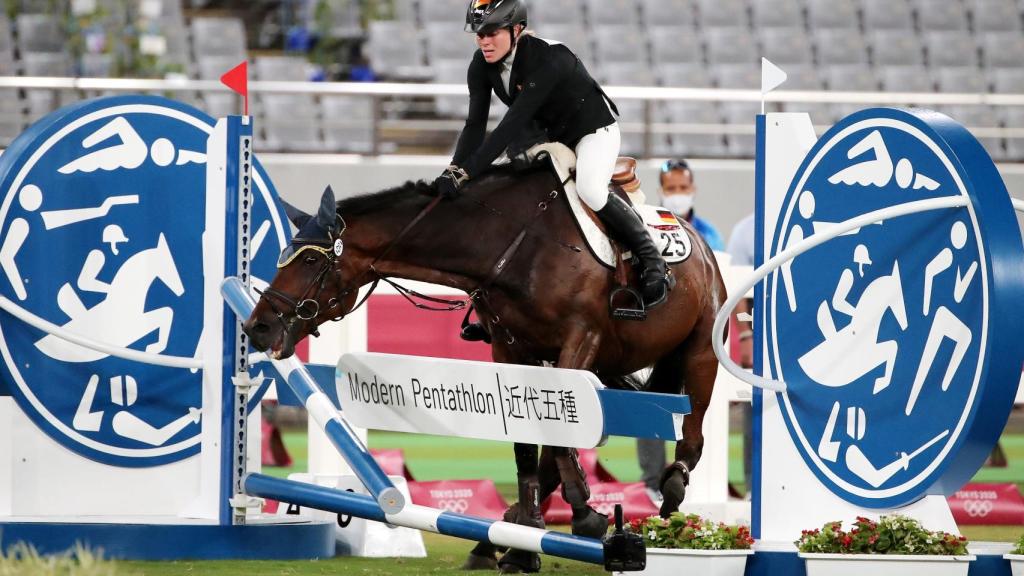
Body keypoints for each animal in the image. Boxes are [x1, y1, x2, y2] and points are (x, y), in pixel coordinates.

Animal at [243, 159, 729, 569]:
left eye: (310, 258)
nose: (258, 327)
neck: (513, 248)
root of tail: (697, 238)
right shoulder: (510, 350)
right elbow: (529, 442)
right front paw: (528, 537)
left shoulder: (581, 340)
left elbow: (555, 439)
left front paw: (581, 516)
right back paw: (504, 535)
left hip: (700, 350)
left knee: (692, 436)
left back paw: (671, 496)